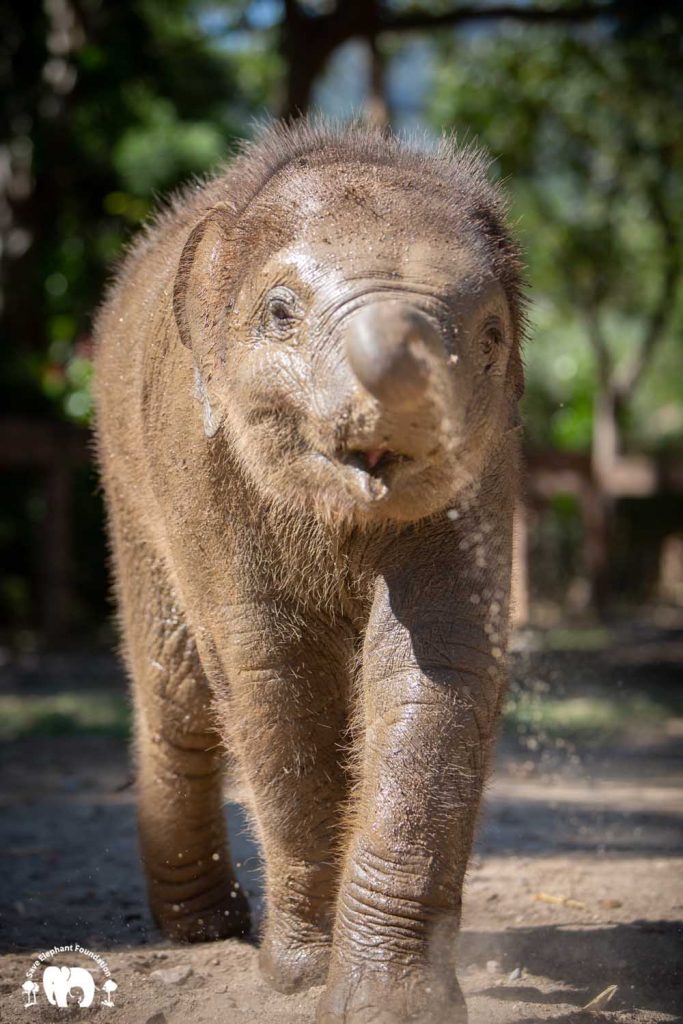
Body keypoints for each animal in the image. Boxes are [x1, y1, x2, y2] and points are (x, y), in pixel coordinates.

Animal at [94, 116, 524, 1019]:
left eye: (490, 336)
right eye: (280, 313)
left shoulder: (489, 461)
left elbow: (438, 664)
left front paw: (389, 1003)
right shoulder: (197, 454)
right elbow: (272, 671)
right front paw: (296, 975)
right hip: (124, 474)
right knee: (181, 690)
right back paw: (204, 929)